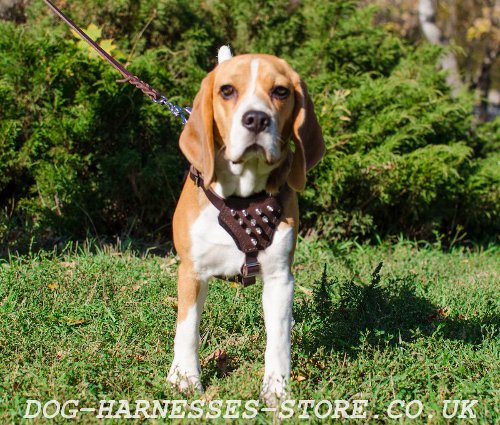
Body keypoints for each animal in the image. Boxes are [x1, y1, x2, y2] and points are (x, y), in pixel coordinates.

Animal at [168, 47, 324, 404]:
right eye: (227, 90)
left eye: (280, 91)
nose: (256, 119)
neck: (242, 197)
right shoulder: (191, 272)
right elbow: (187, 328)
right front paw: (184, 378)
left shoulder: (280, 278)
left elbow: (278, 339)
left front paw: (277, 389)